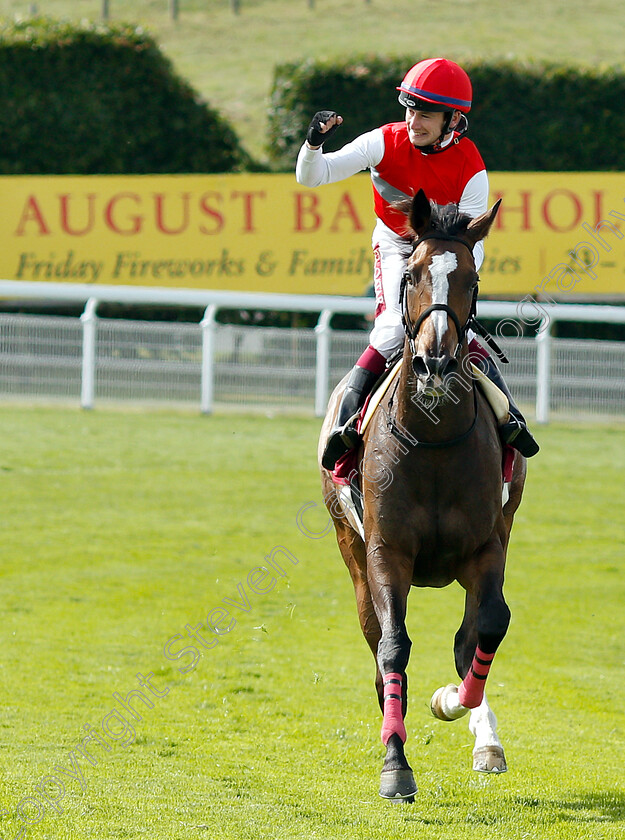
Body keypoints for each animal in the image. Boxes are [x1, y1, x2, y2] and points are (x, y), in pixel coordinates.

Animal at [320, 190, 524, 800]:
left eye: (473, 279)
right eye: (410, 275)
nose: (435, 361)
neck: (432, 438)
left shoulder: (486, 547)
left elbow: (484, 629)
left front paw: (455, 704)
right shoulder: (387, 553)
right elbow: (393, 647)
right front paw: (395, 764)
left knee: (469, 637)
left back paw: (483, 736)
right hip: (353, 554)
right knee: (378, 648)